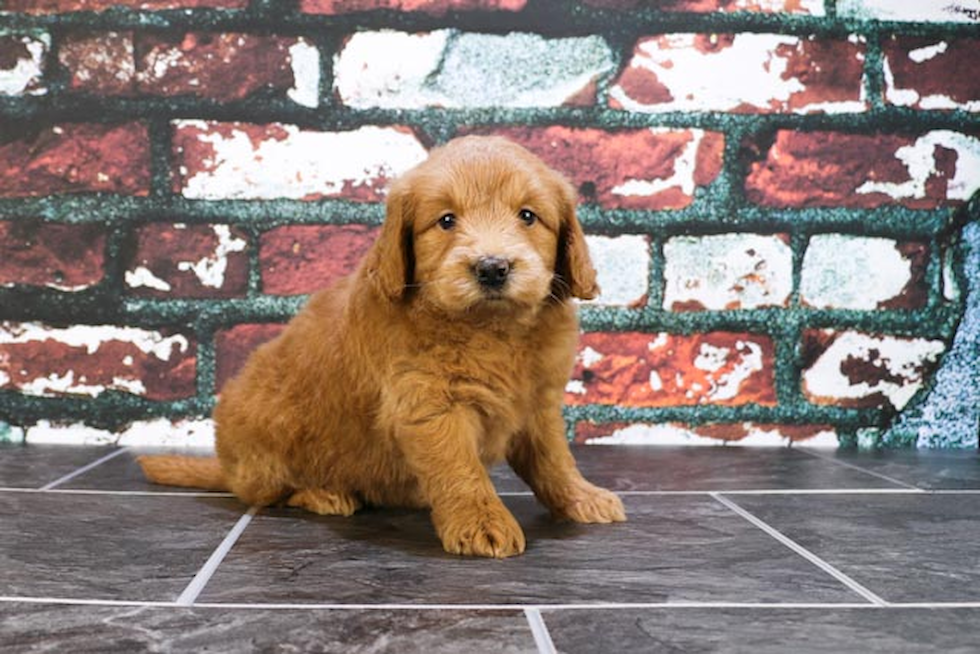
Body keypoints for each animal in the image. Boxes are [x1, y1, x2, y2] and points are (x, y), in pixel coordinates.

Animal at [136, 137, 628, 560]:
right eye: (446, 220)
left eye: (528, 216)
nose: (492, 268)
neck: (491, 329)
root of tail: (228, 465)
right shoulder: (429, 406)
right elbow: (461, 470)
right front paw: (482, 522)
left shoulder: (538, 403)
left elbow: (554, 460)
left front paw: (581, 498)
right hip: (266, 439)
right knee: (268, 492)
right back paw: (324, 492)